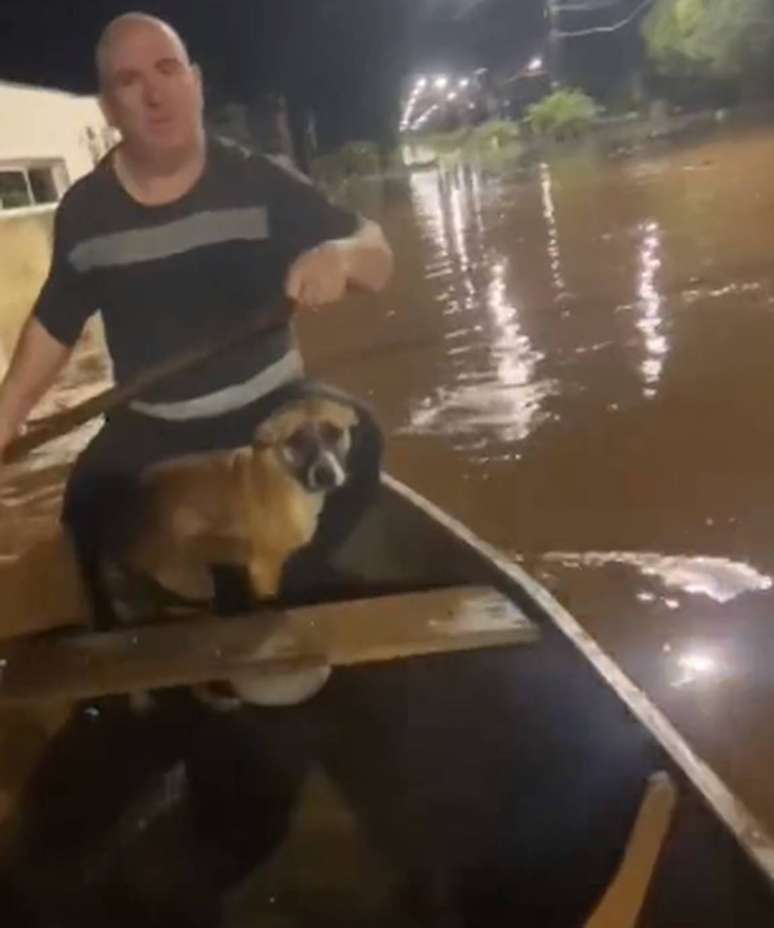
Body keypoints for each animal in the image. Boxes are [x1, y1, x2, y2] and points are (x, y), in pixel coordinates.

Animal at [108, 394, 358, 712]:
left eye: (334, 433)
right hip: (194, 592)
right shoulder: (264, 568)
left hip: (135, 607)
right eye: (296, 441)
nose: (326, 474)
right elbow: (266, 605)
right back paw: (214, 698)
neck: (283, 474)